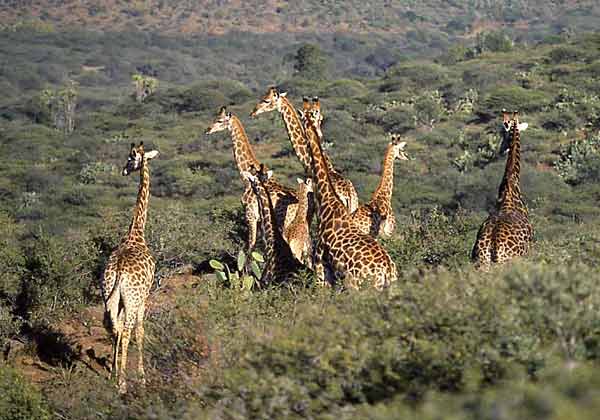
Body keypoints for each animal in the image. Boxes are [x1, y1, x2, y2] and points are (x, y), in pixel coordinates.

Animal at [206, 106, 304, 251]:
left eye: (220, 120)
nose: (207, 130)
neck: (246, 178)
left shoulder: (250, 215)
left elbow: (250, 246)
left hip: (285, 221)